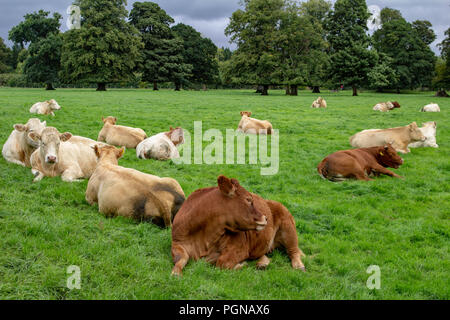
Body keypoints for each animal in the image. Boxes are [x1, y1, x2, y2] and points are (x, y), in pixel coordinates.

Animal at [171, 175, 306, 276]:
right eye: (248, 199)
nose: (266, 218)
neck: (204, 239)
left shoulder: (239, 247)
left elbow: (221, 262)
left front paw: (241, 264)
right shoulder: (176, 242)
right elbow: (180, 258)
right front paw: (176, 273)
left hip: (288, 227)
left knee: (294, 251)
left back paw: (299, 266)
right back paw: (262, 263)